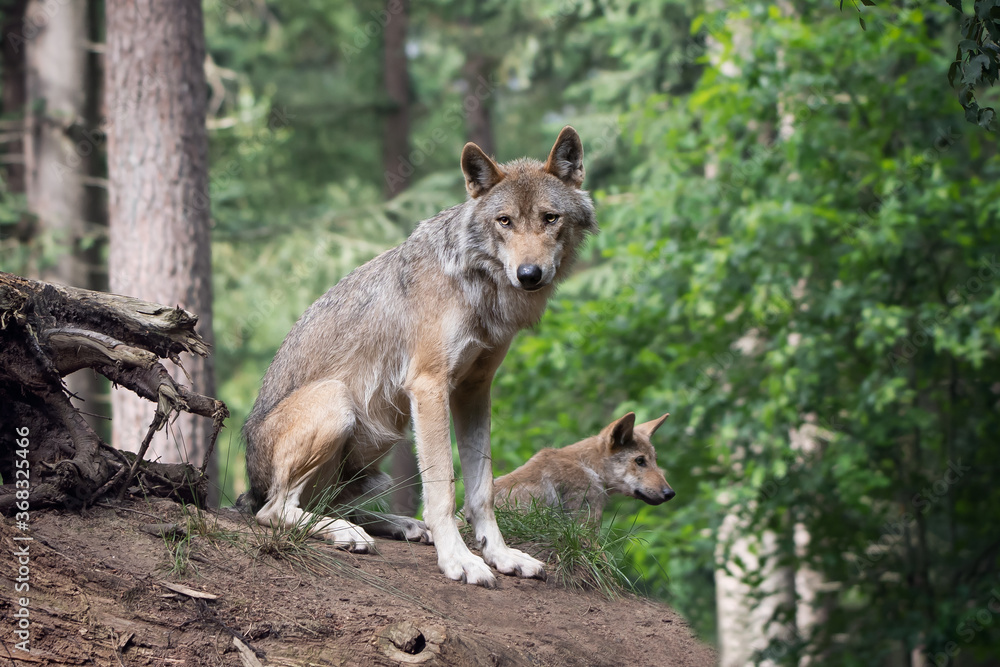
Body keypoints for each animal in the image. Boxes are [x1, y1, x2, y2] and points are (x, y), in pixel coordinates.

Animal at [242, 127, 597, 587]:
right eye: (505, 221)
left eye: (550, 218)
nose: (529, 275)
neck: (476, 285)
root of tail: (249, 485)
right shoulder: (429, 386)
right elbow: (443, 487)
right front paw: (460, 560)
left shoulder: (474, 391)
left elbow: (482, 489)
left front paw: (500, 555)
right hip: (338, 403)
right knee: (276, 511)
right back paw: (348, 533)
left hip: (376, 450)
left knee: (327, 503)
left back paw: (400, 526)